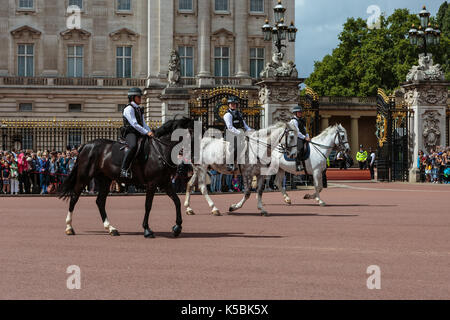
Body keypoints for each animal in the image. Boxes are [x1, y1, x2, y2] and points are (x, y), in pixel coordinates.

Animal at [59, 117, 193, 238]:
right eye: (191, 133)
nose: (187, 167)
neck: (159, 150)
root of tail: (86, 145)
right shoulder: (152, 184)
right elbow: (148, 205)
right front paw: (147, 229)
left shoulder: (165, 183)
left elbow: (177, 201)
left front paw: (177, 227)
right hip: (84, 177)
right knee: (74, 197)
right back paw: (69, 227)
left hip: (105, 180)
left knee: (100, 201)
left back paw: (111, 228)